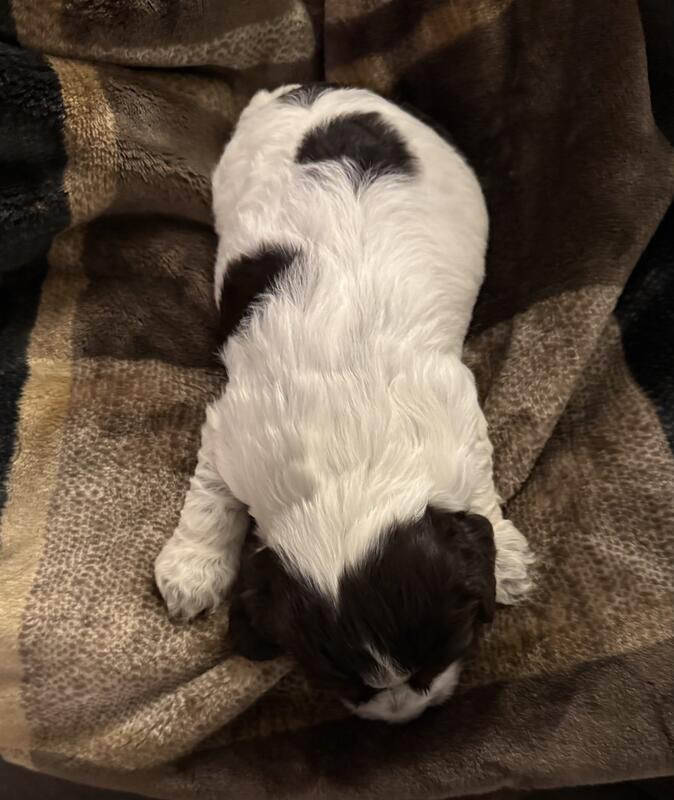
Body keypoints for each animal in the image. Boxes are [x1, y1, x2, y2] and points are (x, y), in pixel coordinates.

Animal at [155, 84, 534, 723]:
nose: (403, 718)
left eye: (440, 658)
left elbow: (481, 488)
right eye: (341, 683)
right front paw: (193, 569)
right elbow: (211, 498)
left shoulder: (459, 417)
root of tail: (309, 91)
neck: (348, 460)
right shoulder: (233, 431)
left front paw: (506, 561)